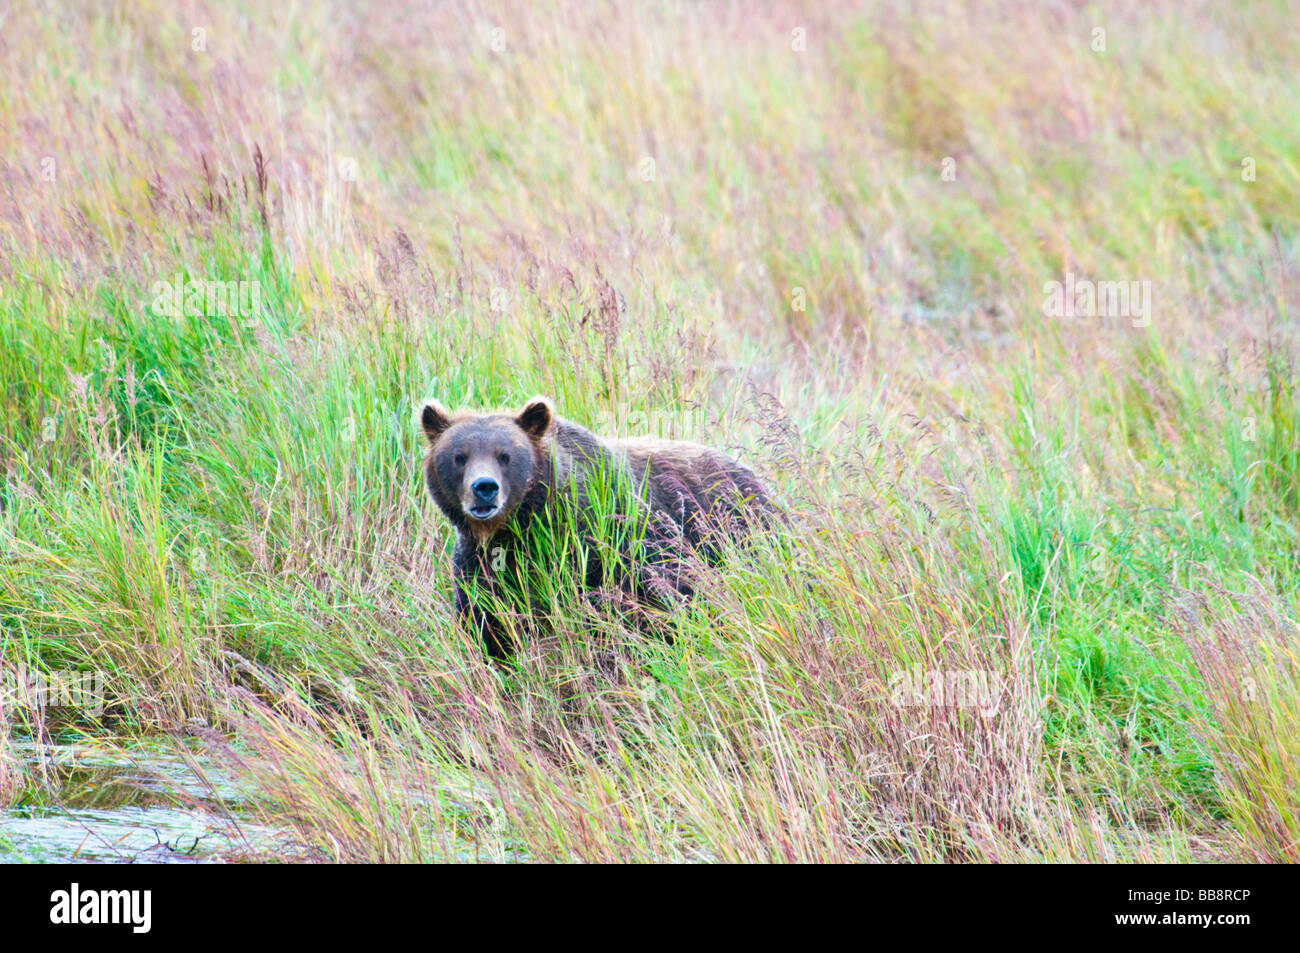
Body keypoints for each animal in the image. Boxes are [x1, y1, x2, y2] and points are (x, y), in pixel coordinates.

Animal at [421, 397, 764, 657]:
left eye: (504, 456)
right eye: (459, 457)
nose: (484, 488)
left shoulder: (601, 548)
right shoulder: (479, 565)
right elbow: (487, 621)